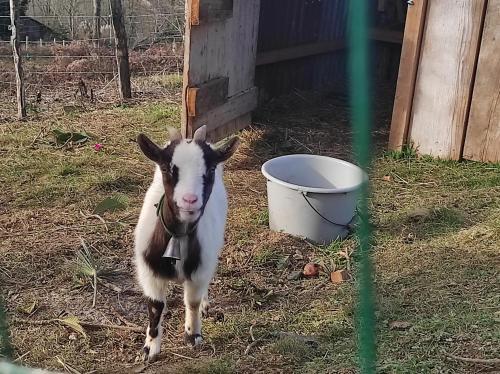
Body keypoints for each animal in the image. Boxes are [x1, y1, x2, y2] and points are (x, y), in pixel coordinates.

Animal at [134, 125, 239, 362]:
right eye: (166, 168)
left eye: (210, 169)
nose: (189, 200)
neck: (178, 236)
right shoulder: (149, 272)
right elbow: (155, 306)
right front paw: (150, 349)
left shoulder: (200, 270)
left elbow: (192, 301)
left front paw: (193, 336)